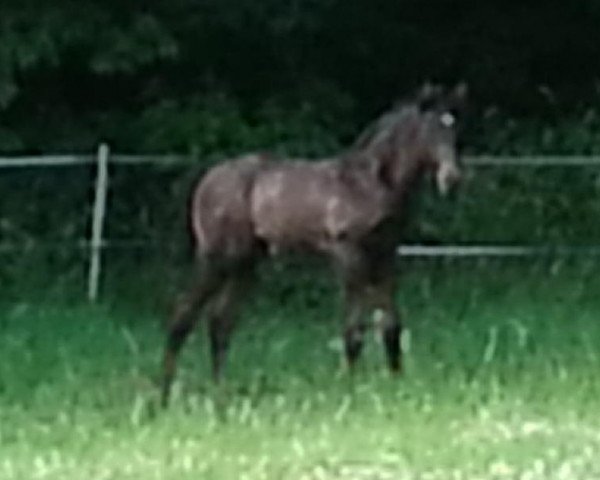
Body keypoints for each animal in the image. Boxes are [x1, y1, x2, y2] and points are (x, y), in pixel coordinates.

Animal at [161, 83, 468, 404]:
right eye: (430, 129)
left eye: (457, 128)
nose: (452, 179)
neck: (370, 183)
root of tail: (206, 181)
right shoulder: (349, 255)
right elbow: (353, 331)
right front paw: (350, 389)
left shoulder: (386, 255)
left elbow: (391, 326)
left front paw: (398, 386)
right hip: (216, 257)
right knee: (183, 314)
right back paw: (164, 395)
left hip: (246, 264)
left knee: (220, 321)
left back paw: (219, 391)